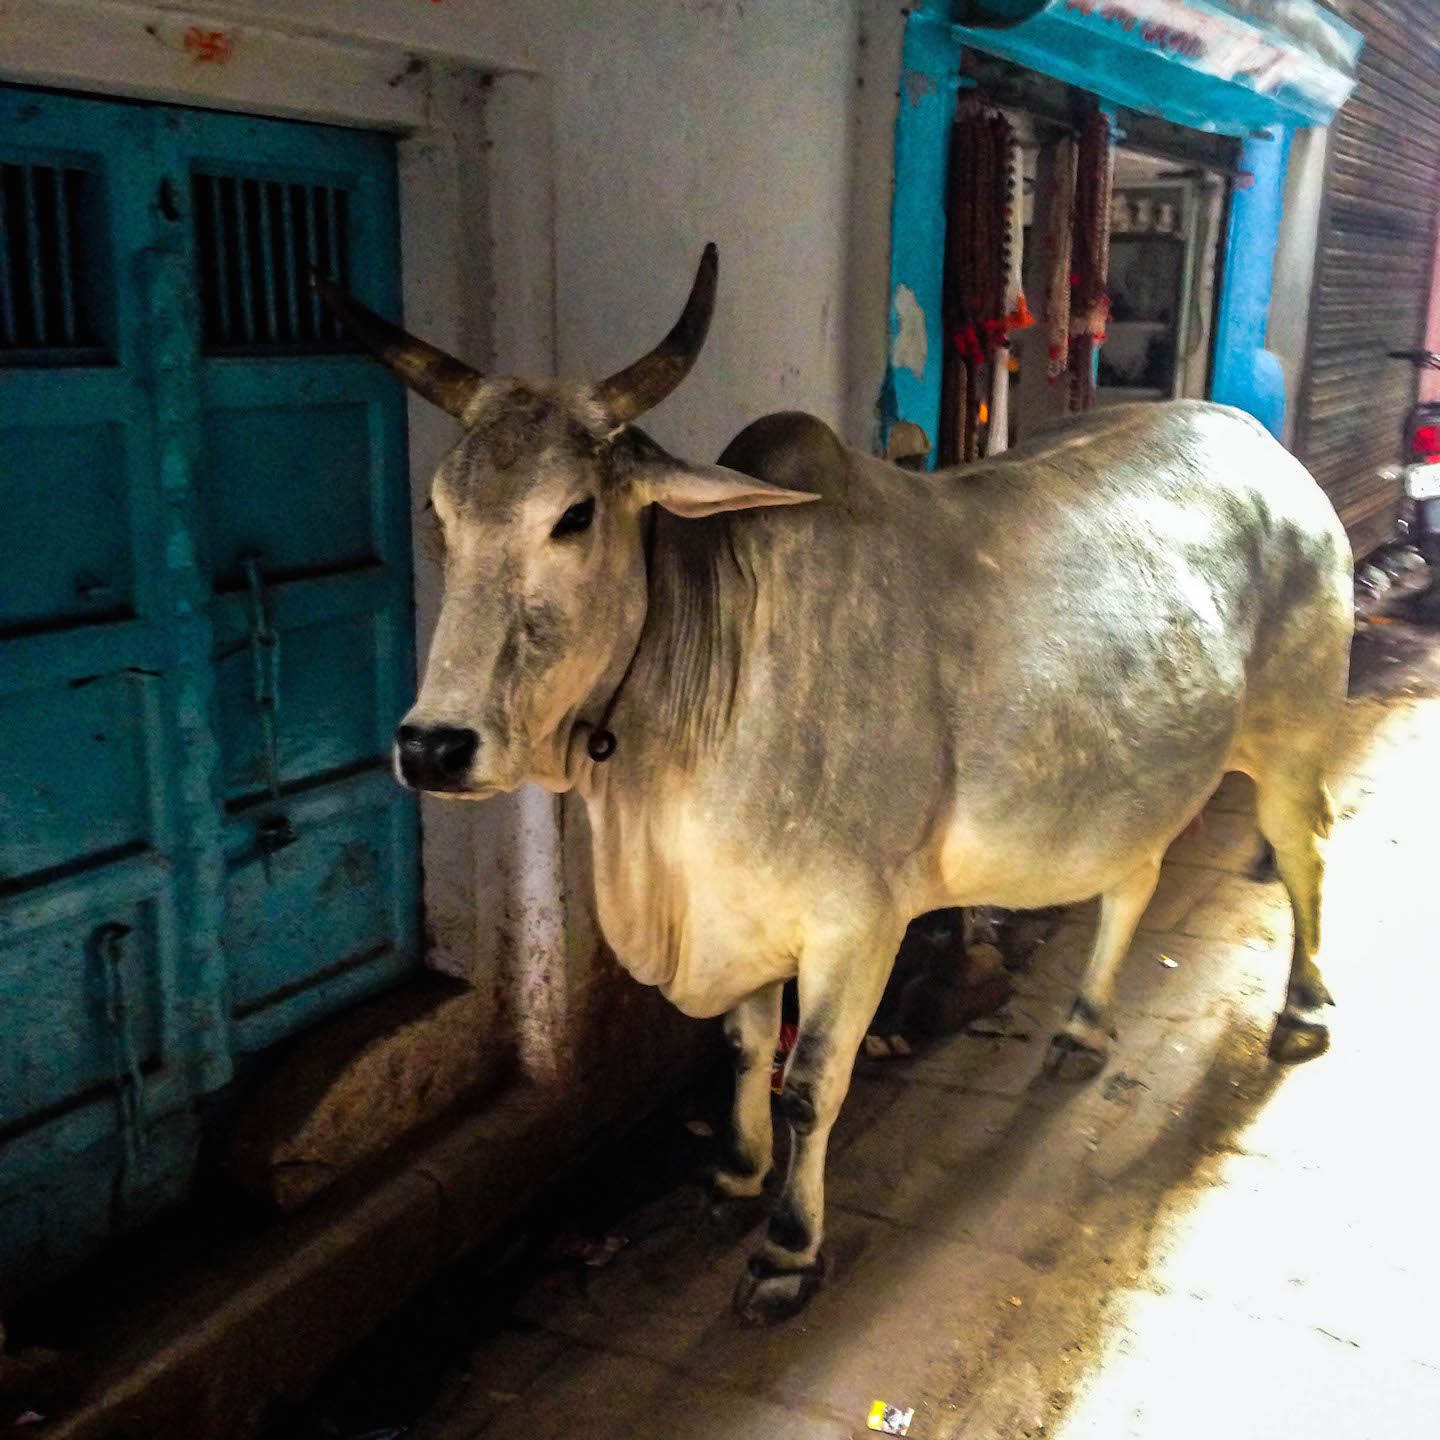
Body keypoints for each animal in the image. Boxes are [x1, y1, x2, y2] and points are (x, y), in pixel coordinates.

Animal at [316, 247, 1352, 1324]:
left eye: (574, 515)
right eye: (439, 516)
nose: (434, 746)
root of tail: (1271, 453)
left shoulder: (858, 924)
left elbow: (810, 1084)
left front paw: (787, 1245)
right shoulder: (738, 911)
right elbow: (740, 1050)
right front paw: (735, 1171)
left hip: (1293, 739)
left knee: (1308, 854)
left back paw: (1302, 1009)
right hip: (1136, 778)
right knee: (1135, 879)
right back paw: (1082, 1026)